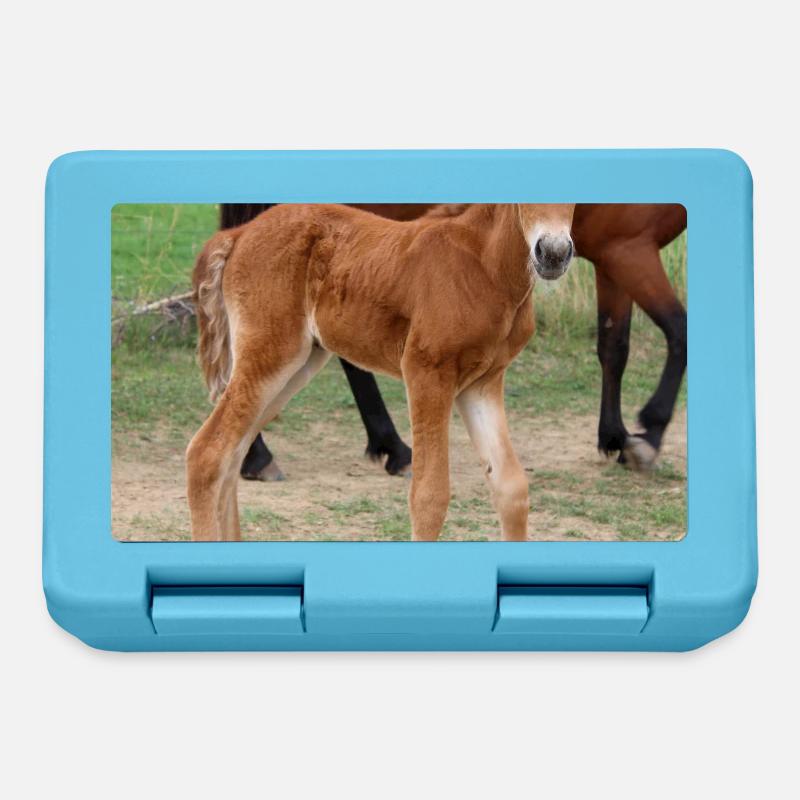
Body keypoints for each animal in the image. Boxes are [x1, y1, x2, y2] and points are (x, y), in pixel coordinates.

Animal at [187, 203, 575, 541]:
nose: (553, 253)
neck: (483, 264)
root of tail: (238, 234)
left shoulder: (482, 384)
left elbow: (511, 488)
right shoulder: (426, 371)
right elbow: (429, 496)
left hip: (297, 365)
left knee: (233, 453)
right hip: (269, 356)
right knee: (207, 453)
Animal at [219, 202, 687, 476]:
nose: (551, 254)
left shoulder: (613, 255)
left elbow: (614, 345)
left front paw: (615, 436)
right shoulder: (629, 247)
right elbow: (679, 330)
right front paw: (649, 434)